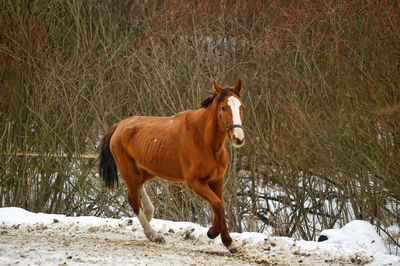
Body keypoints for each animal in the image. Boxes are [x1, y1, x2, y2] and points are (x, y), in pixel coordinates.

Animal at [98, 79, 245, 254]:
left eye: (242, 107)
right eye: (223, 107)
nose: (238, 138)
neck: (203, 140)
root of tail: (119, 125)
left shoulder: (217, 180)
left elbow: (219, 206)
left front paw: (229, 242)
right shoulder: (195, 183)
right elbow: (218, 205)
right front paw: (216, 234)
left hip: (145, 171)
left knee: (140, 196)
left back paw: (148, 222)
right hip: (128, 171)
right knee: (133, 201)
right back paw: (154, 235)